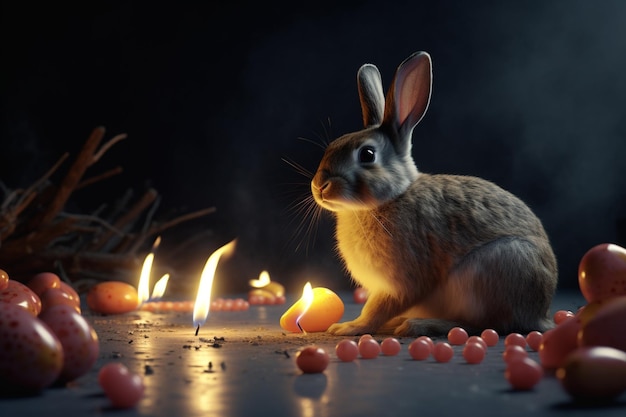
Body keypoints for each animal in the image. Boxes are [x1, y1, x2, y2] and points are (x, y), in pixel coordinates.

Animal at [310, 52, 560, 336]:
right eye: (332, 145)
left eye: (367, 154)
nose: (319, 185)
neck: (389, 199)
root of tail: (541, 315)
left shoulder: (404, 279)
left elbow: (378, 308)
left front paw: (348, 327)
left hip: (486, 274)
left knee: (484, 324)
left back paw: (418, 324)